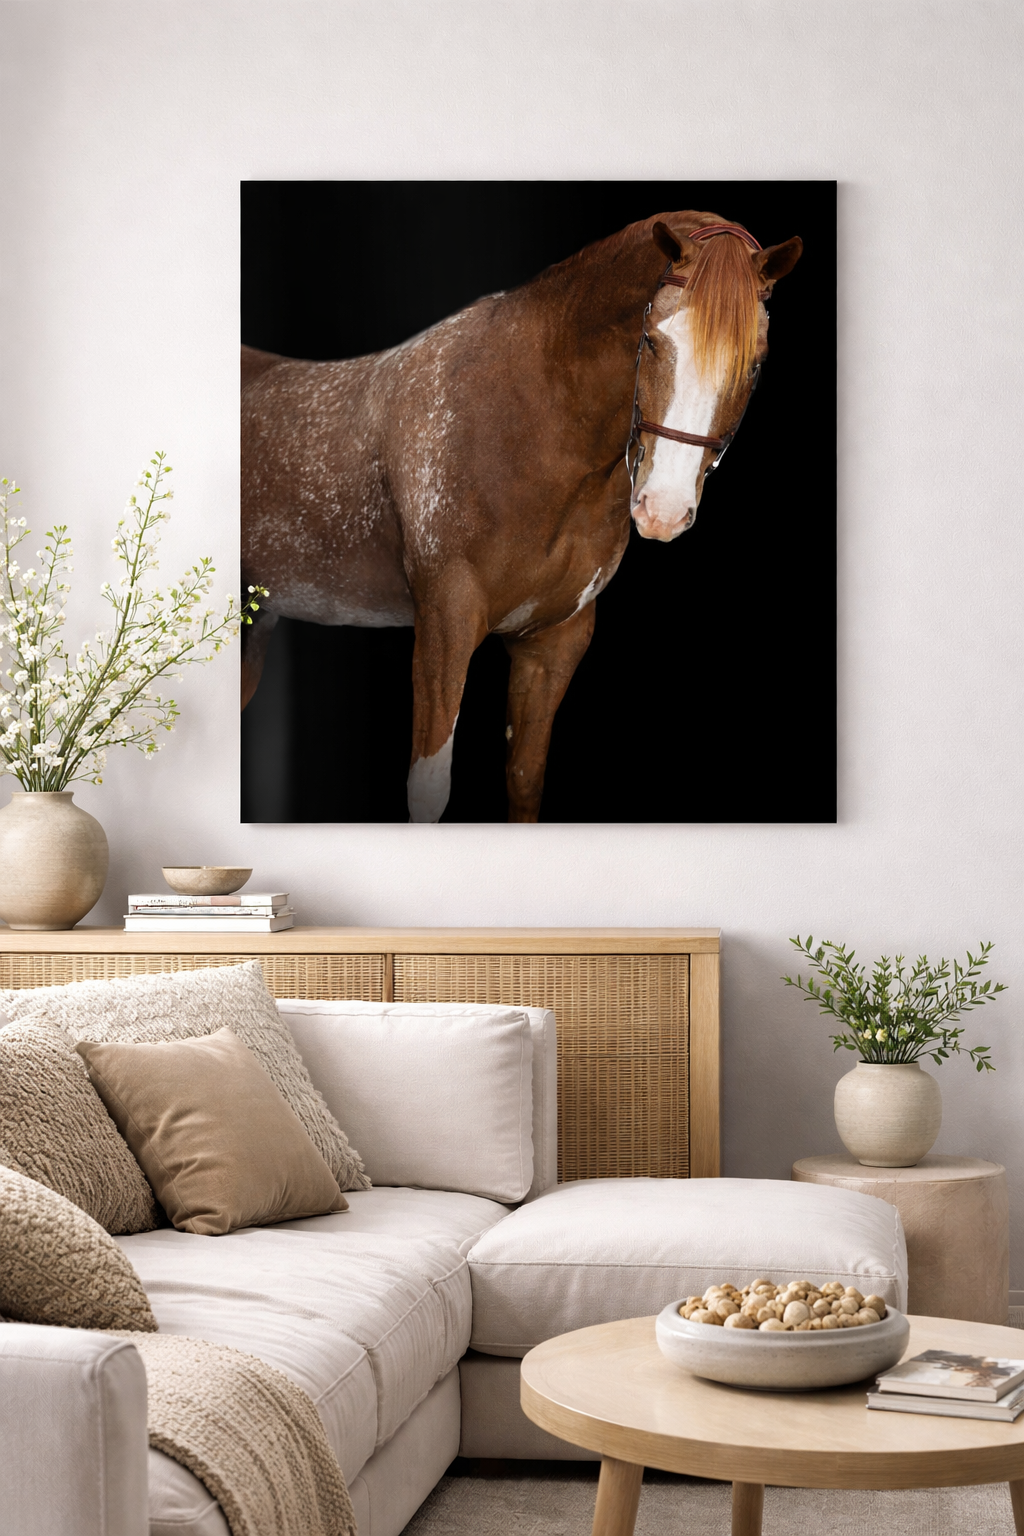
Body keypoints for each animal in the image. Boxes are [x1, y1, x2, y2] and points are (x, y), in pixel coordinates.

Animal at [241, 211, 802, 822]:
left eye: (755, 363)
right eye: (651, 341)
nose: (663, 508)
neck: (528, 422)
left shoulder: (552, 643)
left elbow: (526, 778)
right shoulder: (444, 629)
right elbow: (429, 789)